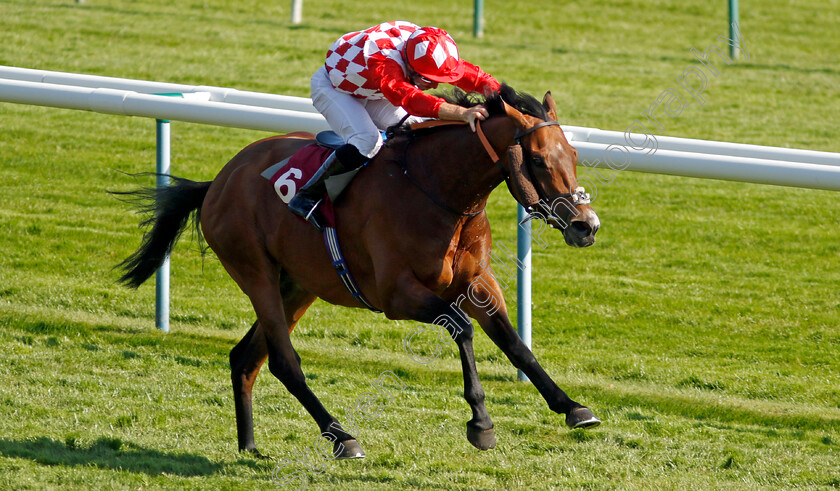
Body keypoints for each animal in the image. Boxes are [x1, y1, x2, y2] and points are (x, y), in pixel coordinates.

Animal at [120, 85, 604, 462]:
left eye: (574, 153)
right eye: (538, 160)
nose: (586, 225)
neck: (437, 189)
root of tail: (218, 181)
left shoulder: (478, 282)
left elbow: (515, 344)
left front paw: (573, 407)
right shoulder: (396, 295)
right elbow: (461, 327)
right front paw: (481, 423)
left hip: (298, 285)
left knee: (246, 357)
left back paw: (250, 446)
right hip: (256, 272)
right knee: (283, 361)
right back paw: (342, 438)